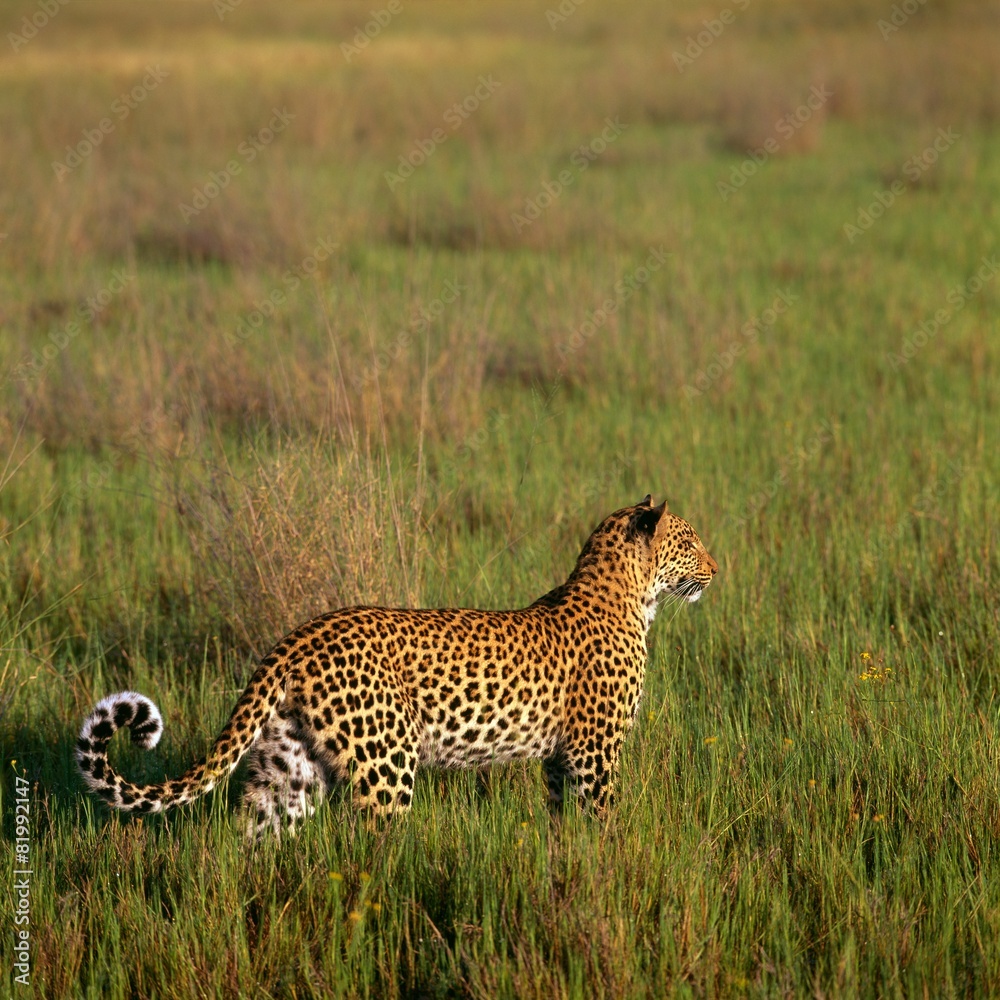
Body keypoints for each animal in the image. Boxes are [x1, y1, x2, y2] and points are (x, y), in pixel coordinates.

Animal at [76, 495, 717, 836]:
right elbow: (602, 822)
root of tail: (299, 635)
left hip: (289, 764)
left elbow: (565, 827)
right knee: (372, 847)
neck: (629, 595)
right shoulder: (593, 753)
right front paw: (606, 868)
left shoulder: (560, 759)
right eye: (689, 541)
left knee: (256, 831)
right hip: (386, 762)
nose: (717, 568)